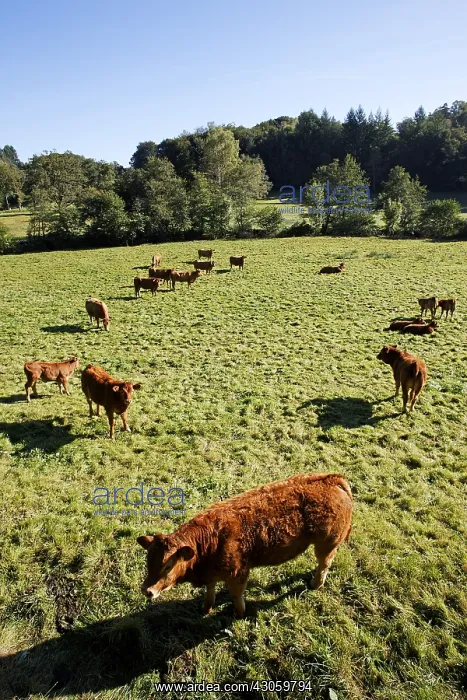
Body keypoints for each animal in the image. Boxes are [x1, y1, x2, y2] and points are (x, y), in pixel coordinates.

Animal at [137, 472, 352, 618]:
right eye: (148, 562)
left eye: (167, 566)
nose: (147, 590)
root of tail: (331, 478)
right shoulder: (211, 573)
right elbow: (210, 590)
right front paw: (206, 608)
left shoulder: (238, 573)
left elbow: (237, 596)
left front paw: (239, 614)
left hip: (327, 543)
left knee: (324, 564)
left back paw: (315, 584)